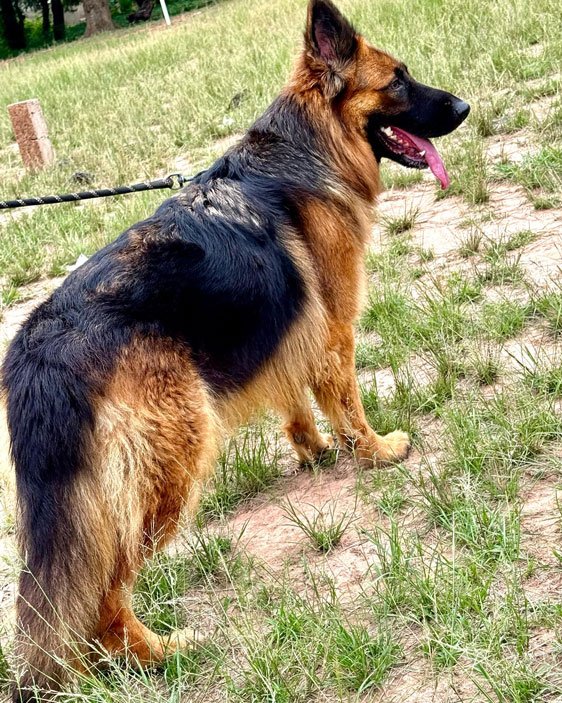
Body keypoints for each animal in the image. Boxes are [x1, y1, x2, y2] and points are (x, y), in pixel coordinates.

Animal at [3, 1, 468, 700]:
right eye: (398, 80)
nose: (464, 107)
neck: (307, 152)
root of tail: (37, 355)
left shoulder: (289, 331)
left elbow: (293, 395)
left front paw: (313, 448)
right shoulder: (334, 327)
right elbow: (345, 398)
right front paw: (376, 449)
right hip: (170, 462)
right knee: (106, 592)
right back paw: (154, 653)